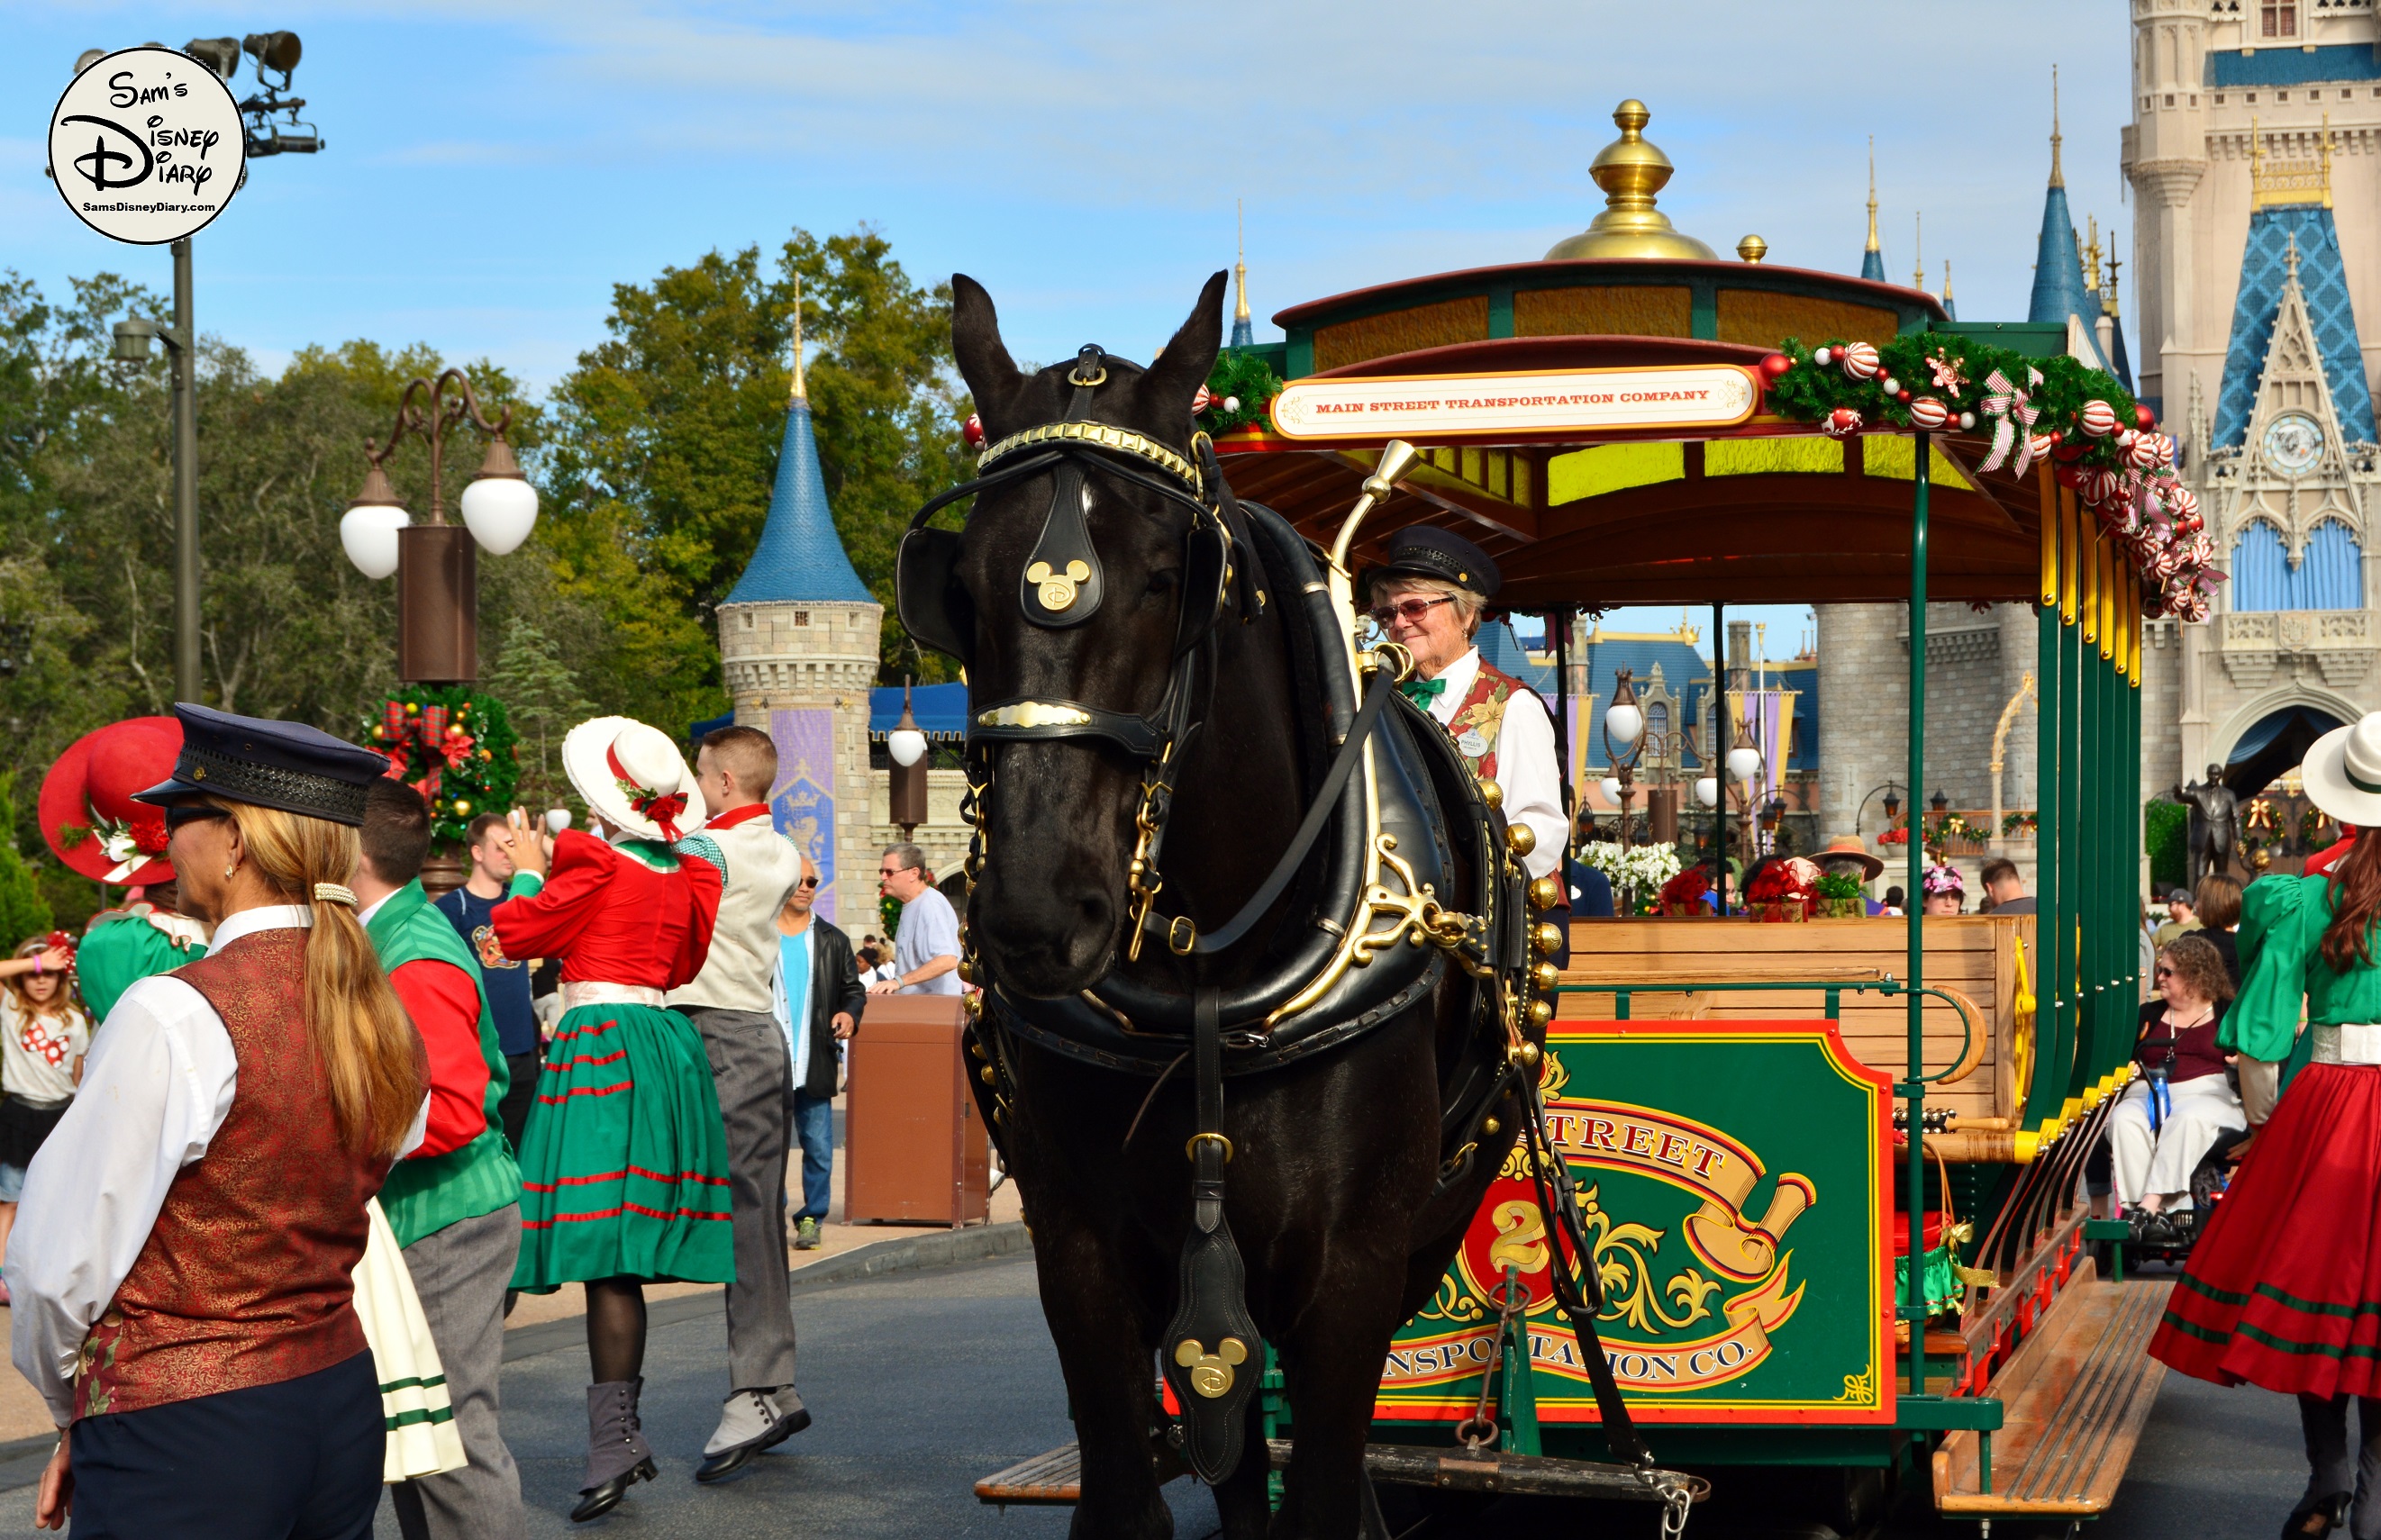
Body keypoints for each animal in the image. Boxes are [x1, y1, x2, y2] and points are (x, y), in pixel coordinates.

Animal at [919, 276, 1571, 1540]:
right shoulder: (1079, 1253)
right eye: (956, 587)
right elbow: (1138, 1492)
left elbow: (1317, 1489)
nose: (1035, 910)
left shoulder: (1354, 1268)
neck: (1210, 982)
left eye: (1171, 577)